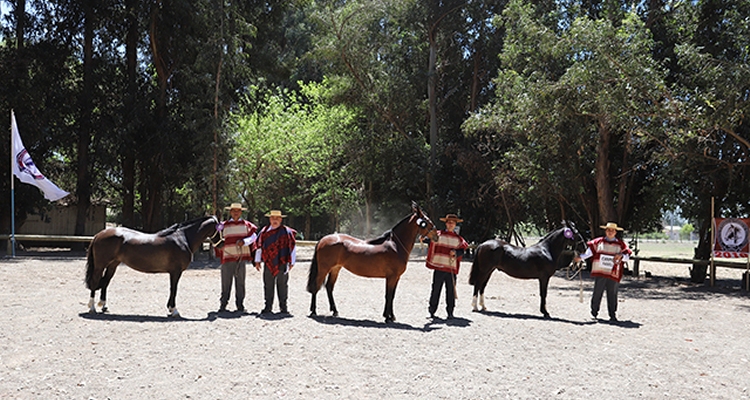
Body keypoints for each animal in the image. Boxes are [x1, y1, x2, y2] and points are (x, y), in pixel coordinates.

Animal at [86, 214, 220, 318]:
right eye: (219, 229)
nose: (221, 243)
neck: (182, 238)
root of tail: (99, 234)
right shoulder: (176, 272)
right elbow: (174, 289)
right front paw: (174, 310)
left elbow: (172, 289)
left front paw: (170, 309)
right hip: (100, 265)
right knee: (95, 281)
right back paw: (92, 307)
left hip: (112, 265)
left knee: (105, 282)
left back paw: (103, 305)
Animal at [308, 202, 444, 324]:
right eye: (426, 221)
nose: (436, 236)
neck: (395, 245)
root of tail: (323, 239)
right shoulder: (391, 277)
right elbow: (388, 295)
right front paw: (387, 317)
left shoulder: (396, 278)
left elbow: (392, 296)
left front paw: (391, 316)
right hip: (323, 269)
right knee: (316, 286)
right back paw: (313, 311)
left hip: (335, 269)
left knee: (329, 287)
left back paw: (335, 311)